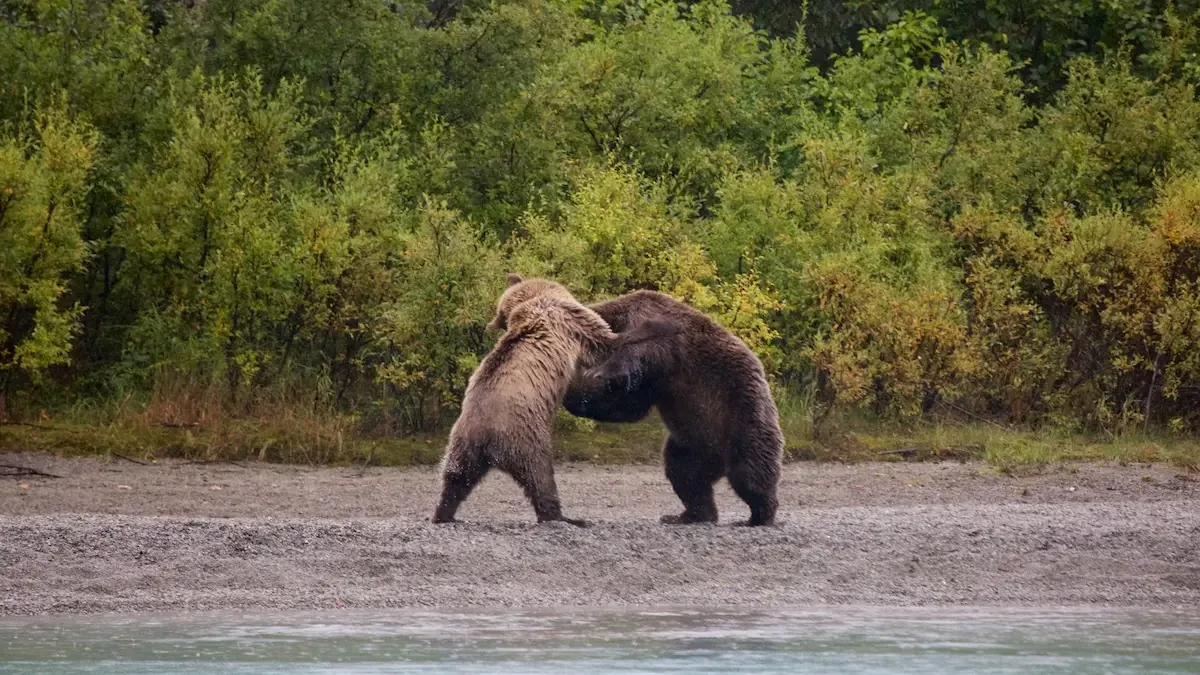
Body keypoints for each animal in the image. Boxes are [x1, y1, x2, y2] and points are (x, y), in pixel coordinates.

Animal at [434, 273, 676, 526]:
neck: (536, 299)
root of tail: (486, 441)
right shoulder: (570, 321)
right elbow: (606, 339)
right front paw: (657, 326)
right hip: (525, 436)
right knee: (540, 478)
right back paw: (565, 517)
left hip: (462, 444)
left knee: (456, 478)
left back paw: (444, 513)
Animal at [564, 289, 787, 526]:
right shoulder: (655, 380)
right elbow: (629, 405)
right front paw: (574, 394)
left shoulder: (660, 337)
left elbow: (636, 354)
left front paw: (597, 373)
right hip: (695, 442)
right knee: (684, 471)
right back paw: (688, 515)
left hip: (743, 417)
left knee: (750, 470)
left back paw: (759, 515)